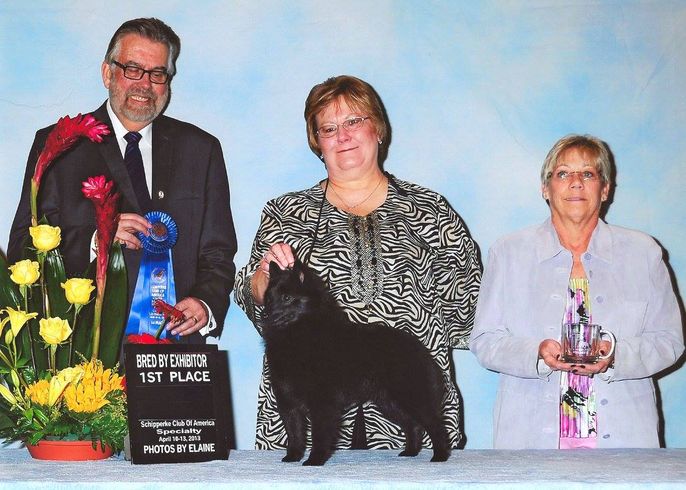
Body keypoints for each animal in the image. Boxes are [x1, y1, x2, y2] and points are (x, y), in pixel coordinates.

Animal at [262, 259, 450, 466]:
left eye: (287, 298)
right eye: (268, 299)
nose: (265, 316)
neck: (300, 335)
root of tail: (421, 349)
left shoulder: (322, 402)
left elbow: (319, 434)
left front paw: (315, 459)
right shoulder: (288, 401)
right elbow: (294, 432)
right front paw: (293, 456)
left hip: (411, 396)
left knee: (435, 425)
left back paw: (440, 456)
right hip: (390, 402)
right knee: (413, 425)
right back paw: (410, 451)